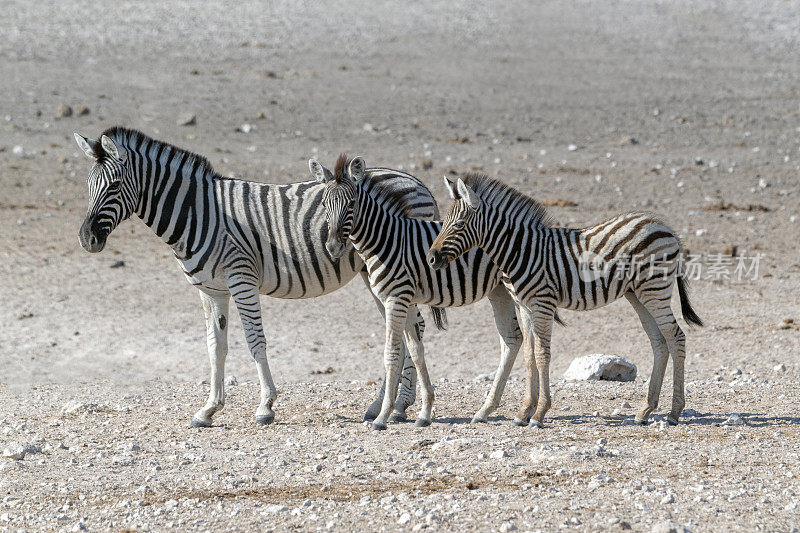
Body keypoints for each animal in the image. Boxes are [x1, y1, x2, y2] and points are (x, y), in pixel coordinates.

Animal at [72, 127, 438, 426]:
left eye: (114, 186)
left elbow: (254, 341)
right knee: (404, 329)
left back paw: (397, 406)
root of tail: (416, 181)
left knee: (411, 328)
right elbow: (215, 346)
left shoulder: (241, 278)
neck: (198, 212)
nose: (87, 239)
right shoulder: (210, 289)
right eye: (88, 186)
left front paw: (266, 406)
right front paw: (209, 409)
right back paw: (390, 407)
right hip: (378, 273)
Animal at [310, 153, 540, 428]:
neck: (386, 240)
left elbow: (392, 353)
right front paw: (424, 411)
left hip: (519, 289)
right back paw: (487, 410)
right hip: (499, 291)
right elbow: (416, 351)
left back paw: (527, 411)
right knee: (512, 339)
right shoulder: (406, 300)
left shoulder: (396, 298)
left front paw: (383, 416)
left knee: (531, 340)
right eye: (324, 204)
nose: (333, 247)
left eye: (352, 203)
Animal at [432, 175, 700, 428]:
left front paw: (539, 414)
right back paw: (645, 411)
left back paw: (674, 413)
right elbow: (529, 356)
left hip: (655, 290)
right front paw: (523, 412)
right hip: (638, 294)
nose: (432, 258)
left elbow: (542, 355)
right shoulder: (524, 307)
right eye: (443, 223)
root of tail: (664, 225)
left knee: (676, 337)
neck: (519, 250)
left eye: (458, 224)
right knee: (659, 342)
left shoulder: (542, 304)